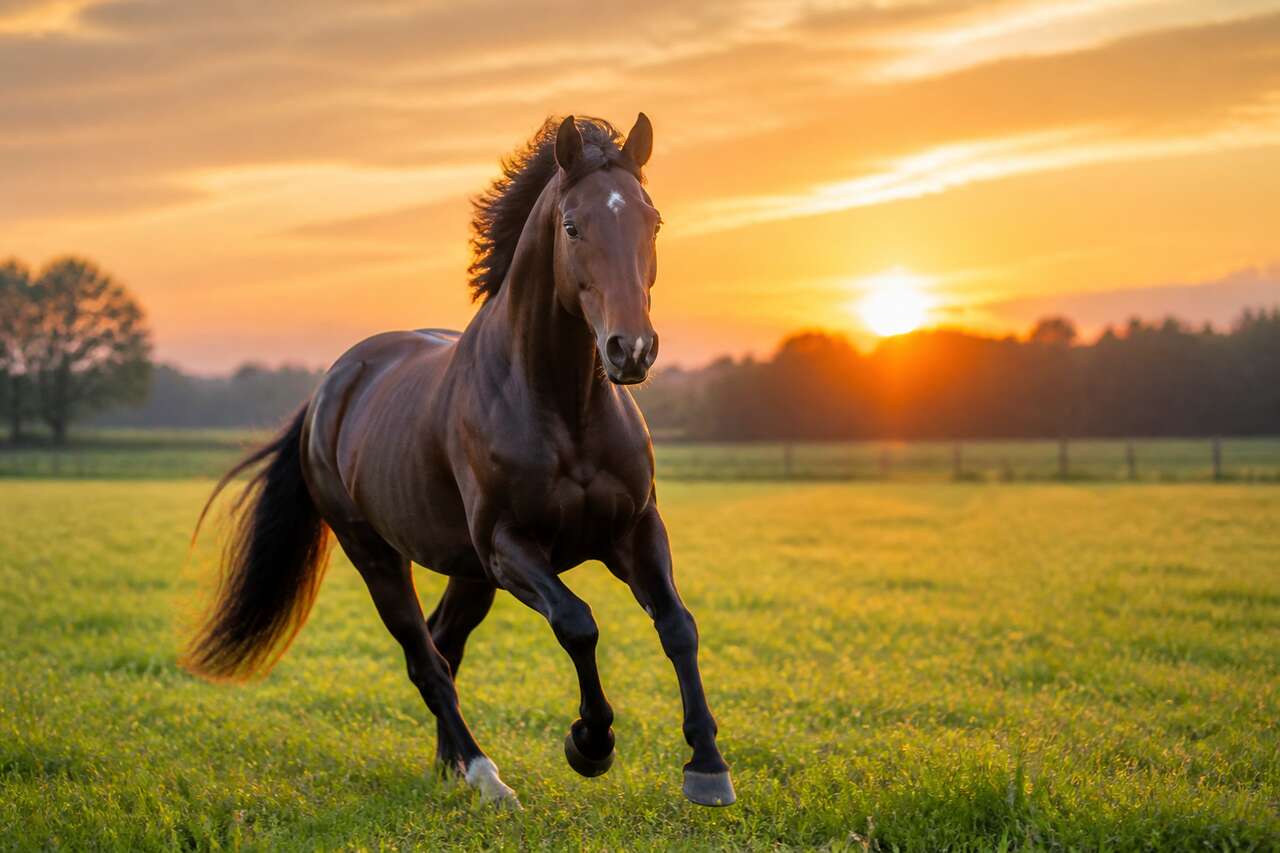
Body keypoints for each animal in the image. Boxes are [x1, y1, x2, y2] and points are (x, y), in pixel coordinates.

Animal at [183, 114, 735, 809]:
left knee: (444, 644)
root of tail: (331, 388)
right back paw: (484, 775)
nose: (630, 350)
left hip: (469, 573)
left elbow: (678, 625)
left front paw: (708, 765)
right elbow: (578, 624)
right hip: (380, 556)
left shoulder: (634, 531)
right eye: (571, 226)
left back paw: (451, 764)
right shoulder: (509, 546)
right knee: (426, 659)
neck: (563, 406)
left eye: (652, 220)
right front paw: (589, 744)